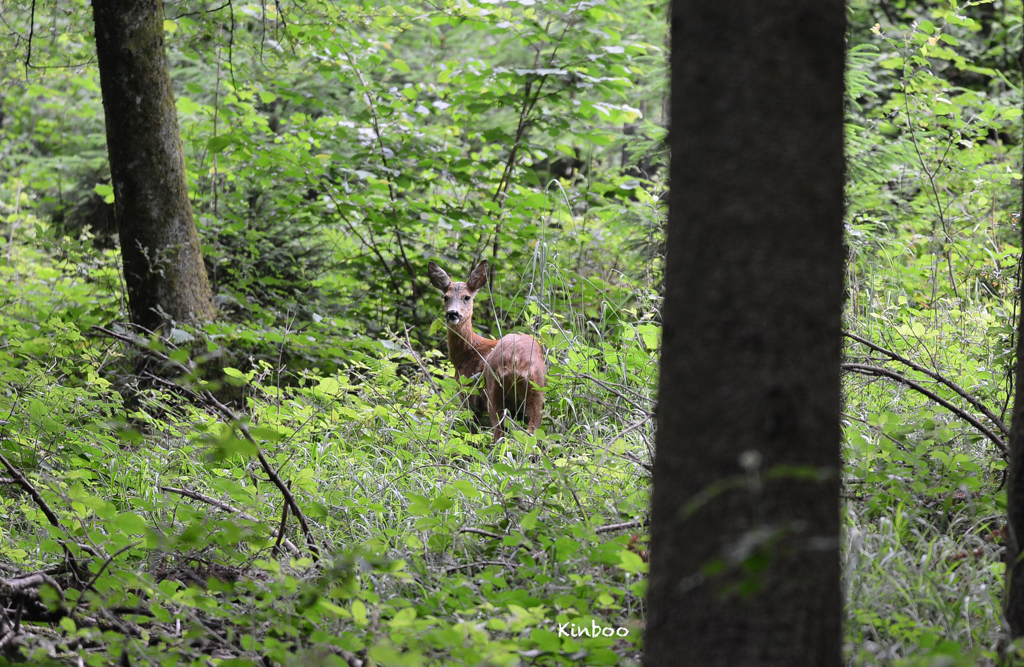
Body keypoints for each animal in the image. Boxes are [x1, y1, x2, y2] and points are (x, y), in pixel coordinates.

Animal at [423, 261, 544, 442]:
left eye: (467, 297)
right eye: (446, 297)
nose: (452, 314)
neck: (467, 353)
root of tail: (517, 359)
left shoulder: (468, 395)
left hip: (493, 389)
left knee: (499, 433)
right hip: (537, 388)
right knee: (531, 433)